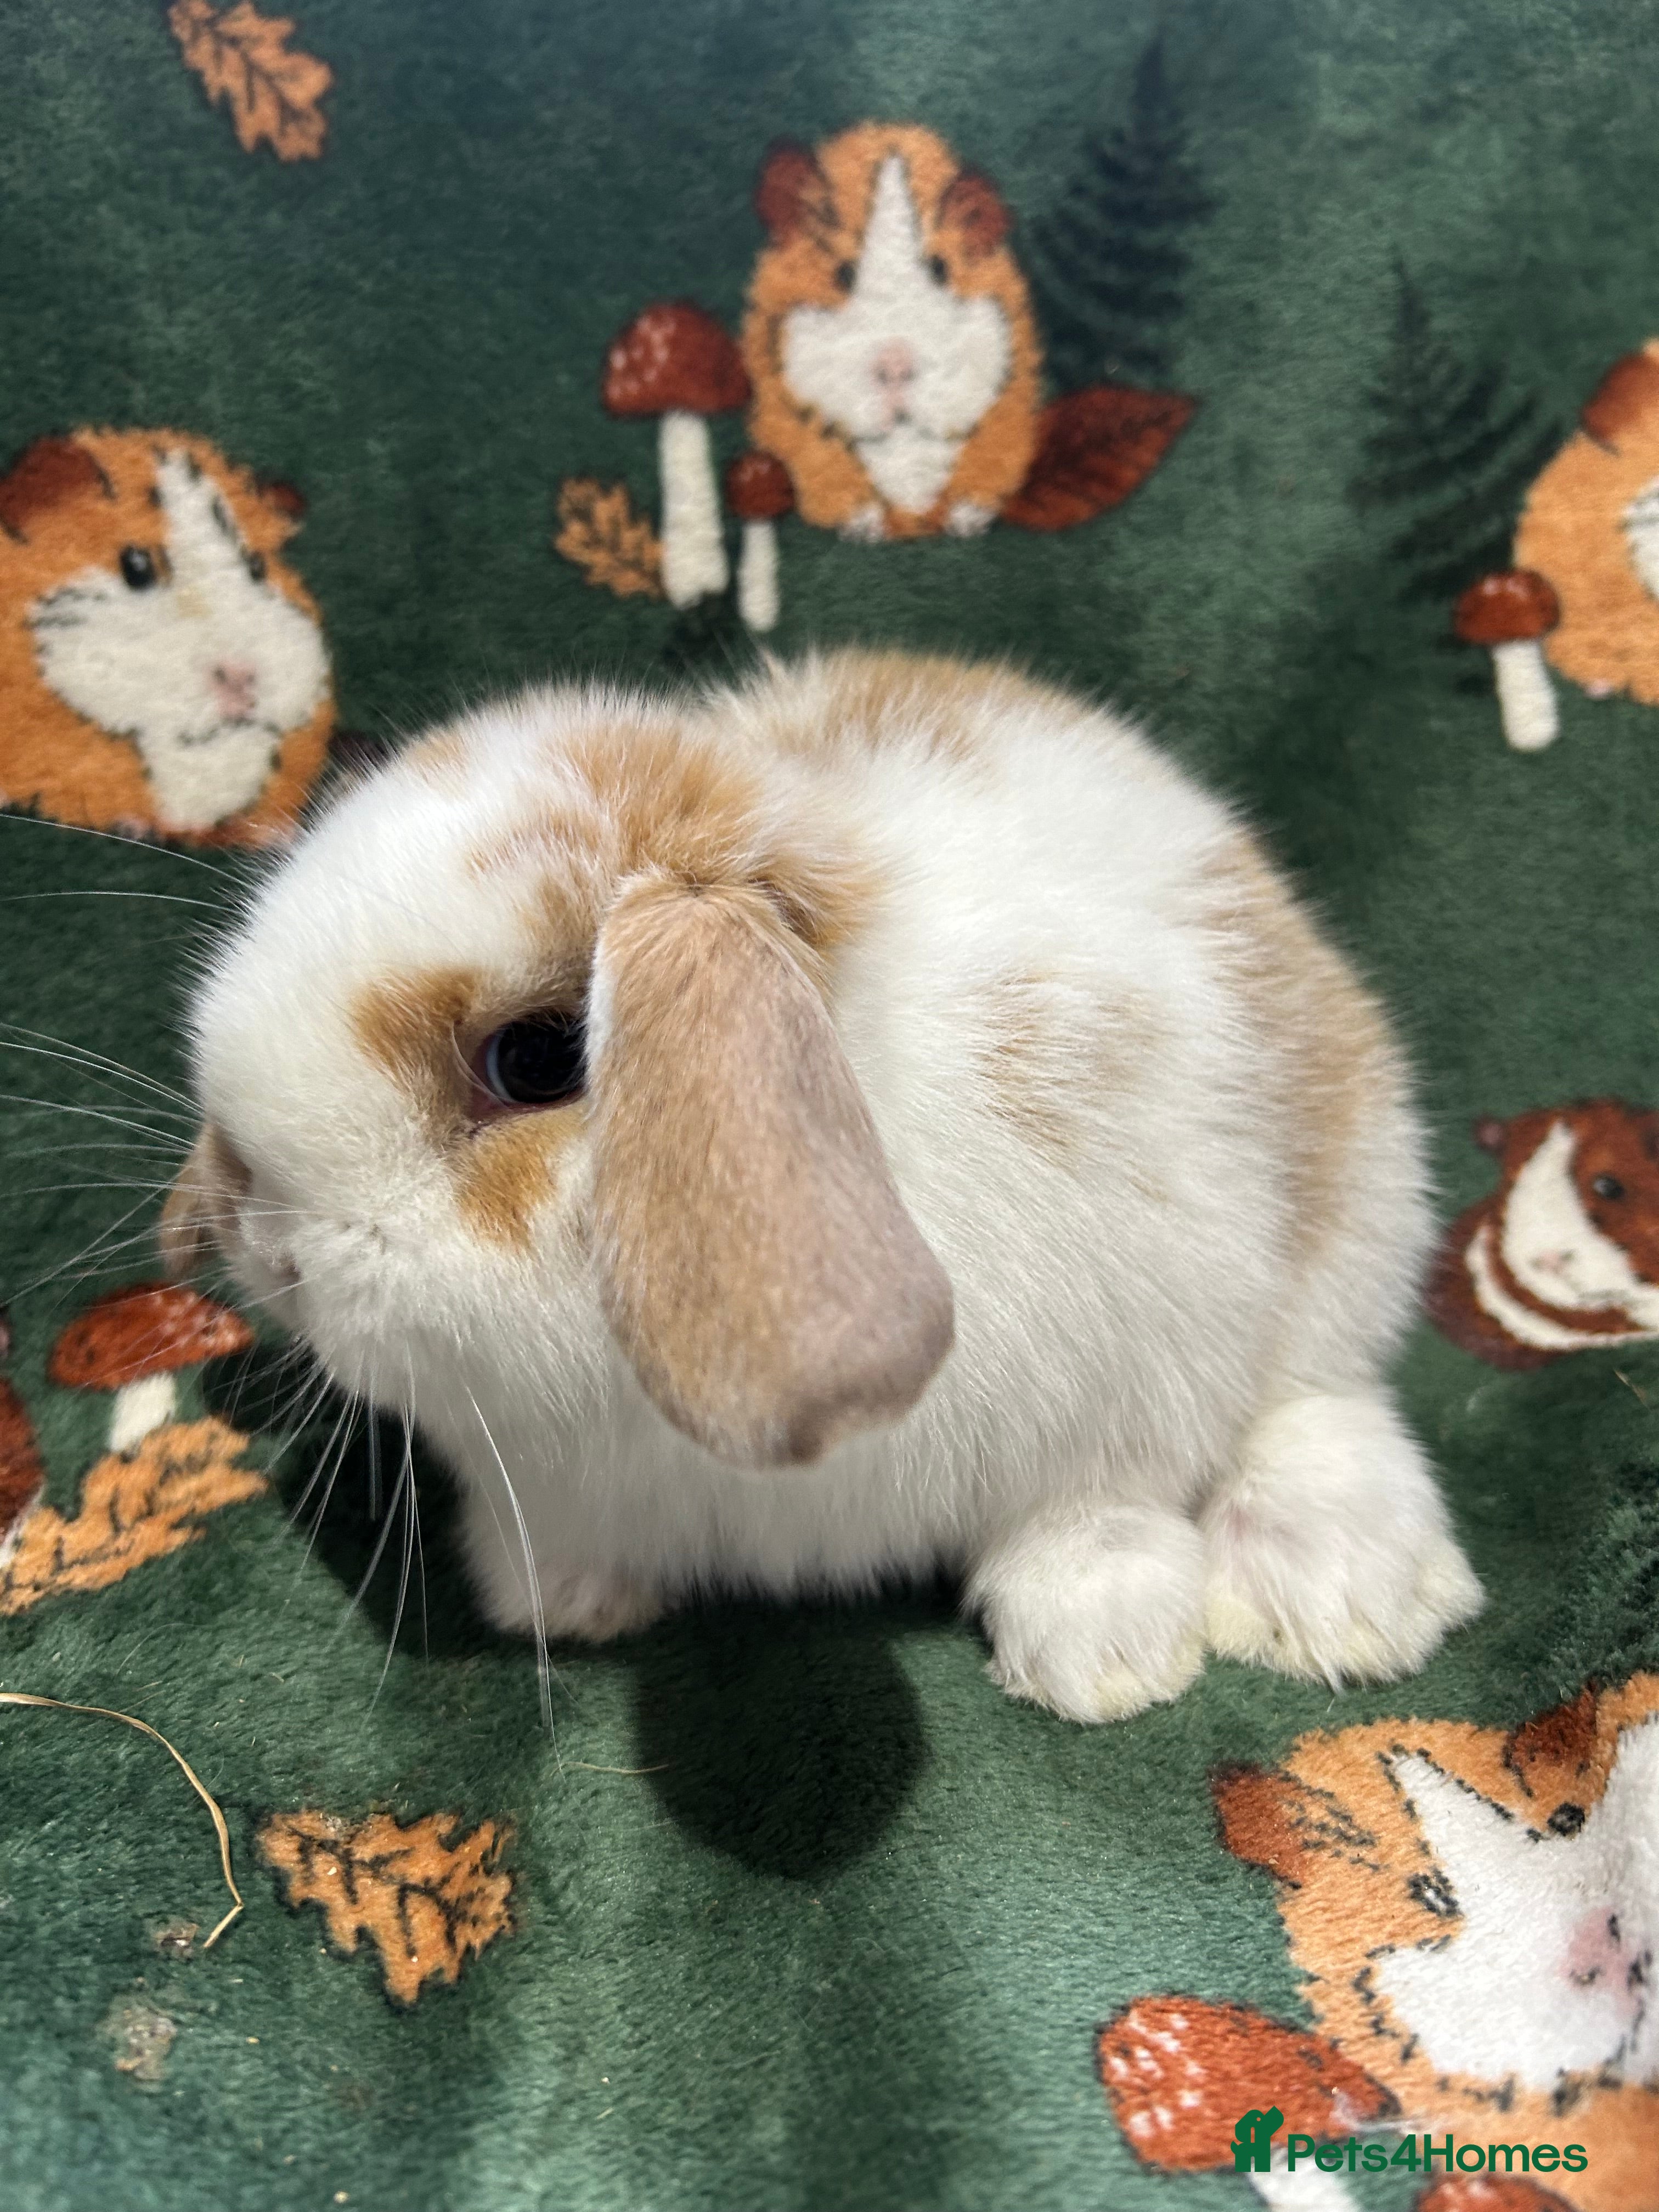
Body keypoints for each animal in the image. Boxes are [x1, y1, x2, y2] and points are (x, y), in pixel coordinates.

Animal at [160, 648, 1482, 1723]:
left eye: (536, 1059)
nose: (265, 1242)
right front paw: (564, 1601)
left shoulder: (1116, 1395)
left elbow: (1091, 1516)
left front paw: (1102, 1658)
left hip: (1358, 1203)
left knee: (1318, 1400)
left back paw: (1338, 1601)